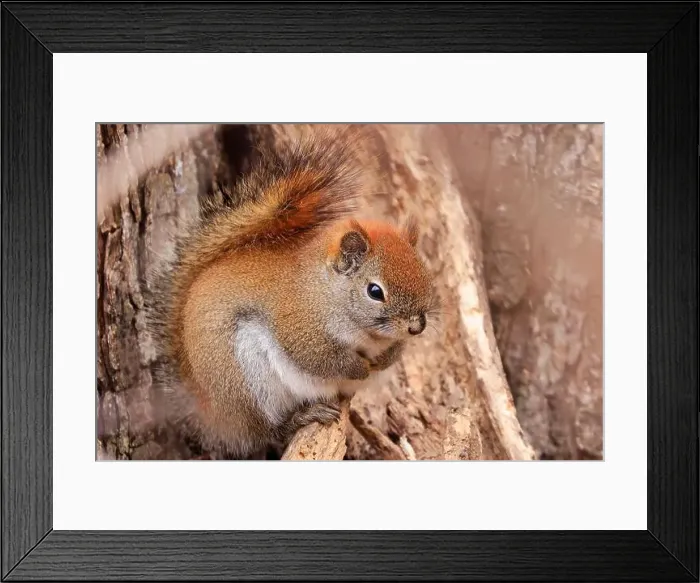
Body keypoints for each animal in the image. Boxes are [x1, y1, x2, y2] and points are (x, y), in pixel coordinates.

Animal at [145, 128, 436, 458]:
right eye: (375, 291)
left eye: (425, 272)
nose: (417, 327)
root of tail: (210, 414)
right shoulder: (296, 322)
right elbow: (319, 358)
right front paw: (358, 367)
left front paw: (386, 358)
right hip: (249, 382)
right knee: (265, 432)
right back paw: (303, 416)